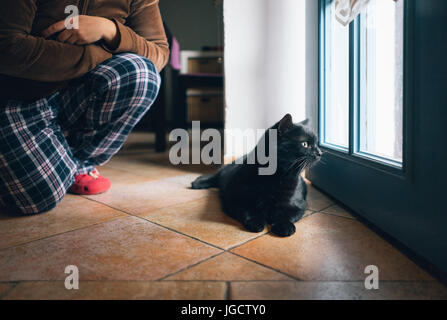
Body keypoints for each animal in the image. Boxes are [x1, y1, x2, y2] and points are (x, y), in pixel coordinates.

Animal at [192, 115, 322, 238]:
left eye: (316, 144)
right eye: (305, 144)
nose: (320, 153)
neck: (275, 176)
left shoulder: (297, 204)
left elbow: (286, 215)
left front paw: (284, 226)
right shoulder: (234, 199)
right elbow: (248, 211)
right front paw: (256, 222)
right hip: (227, 172)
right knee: (217, 176)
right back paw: (198, 183)